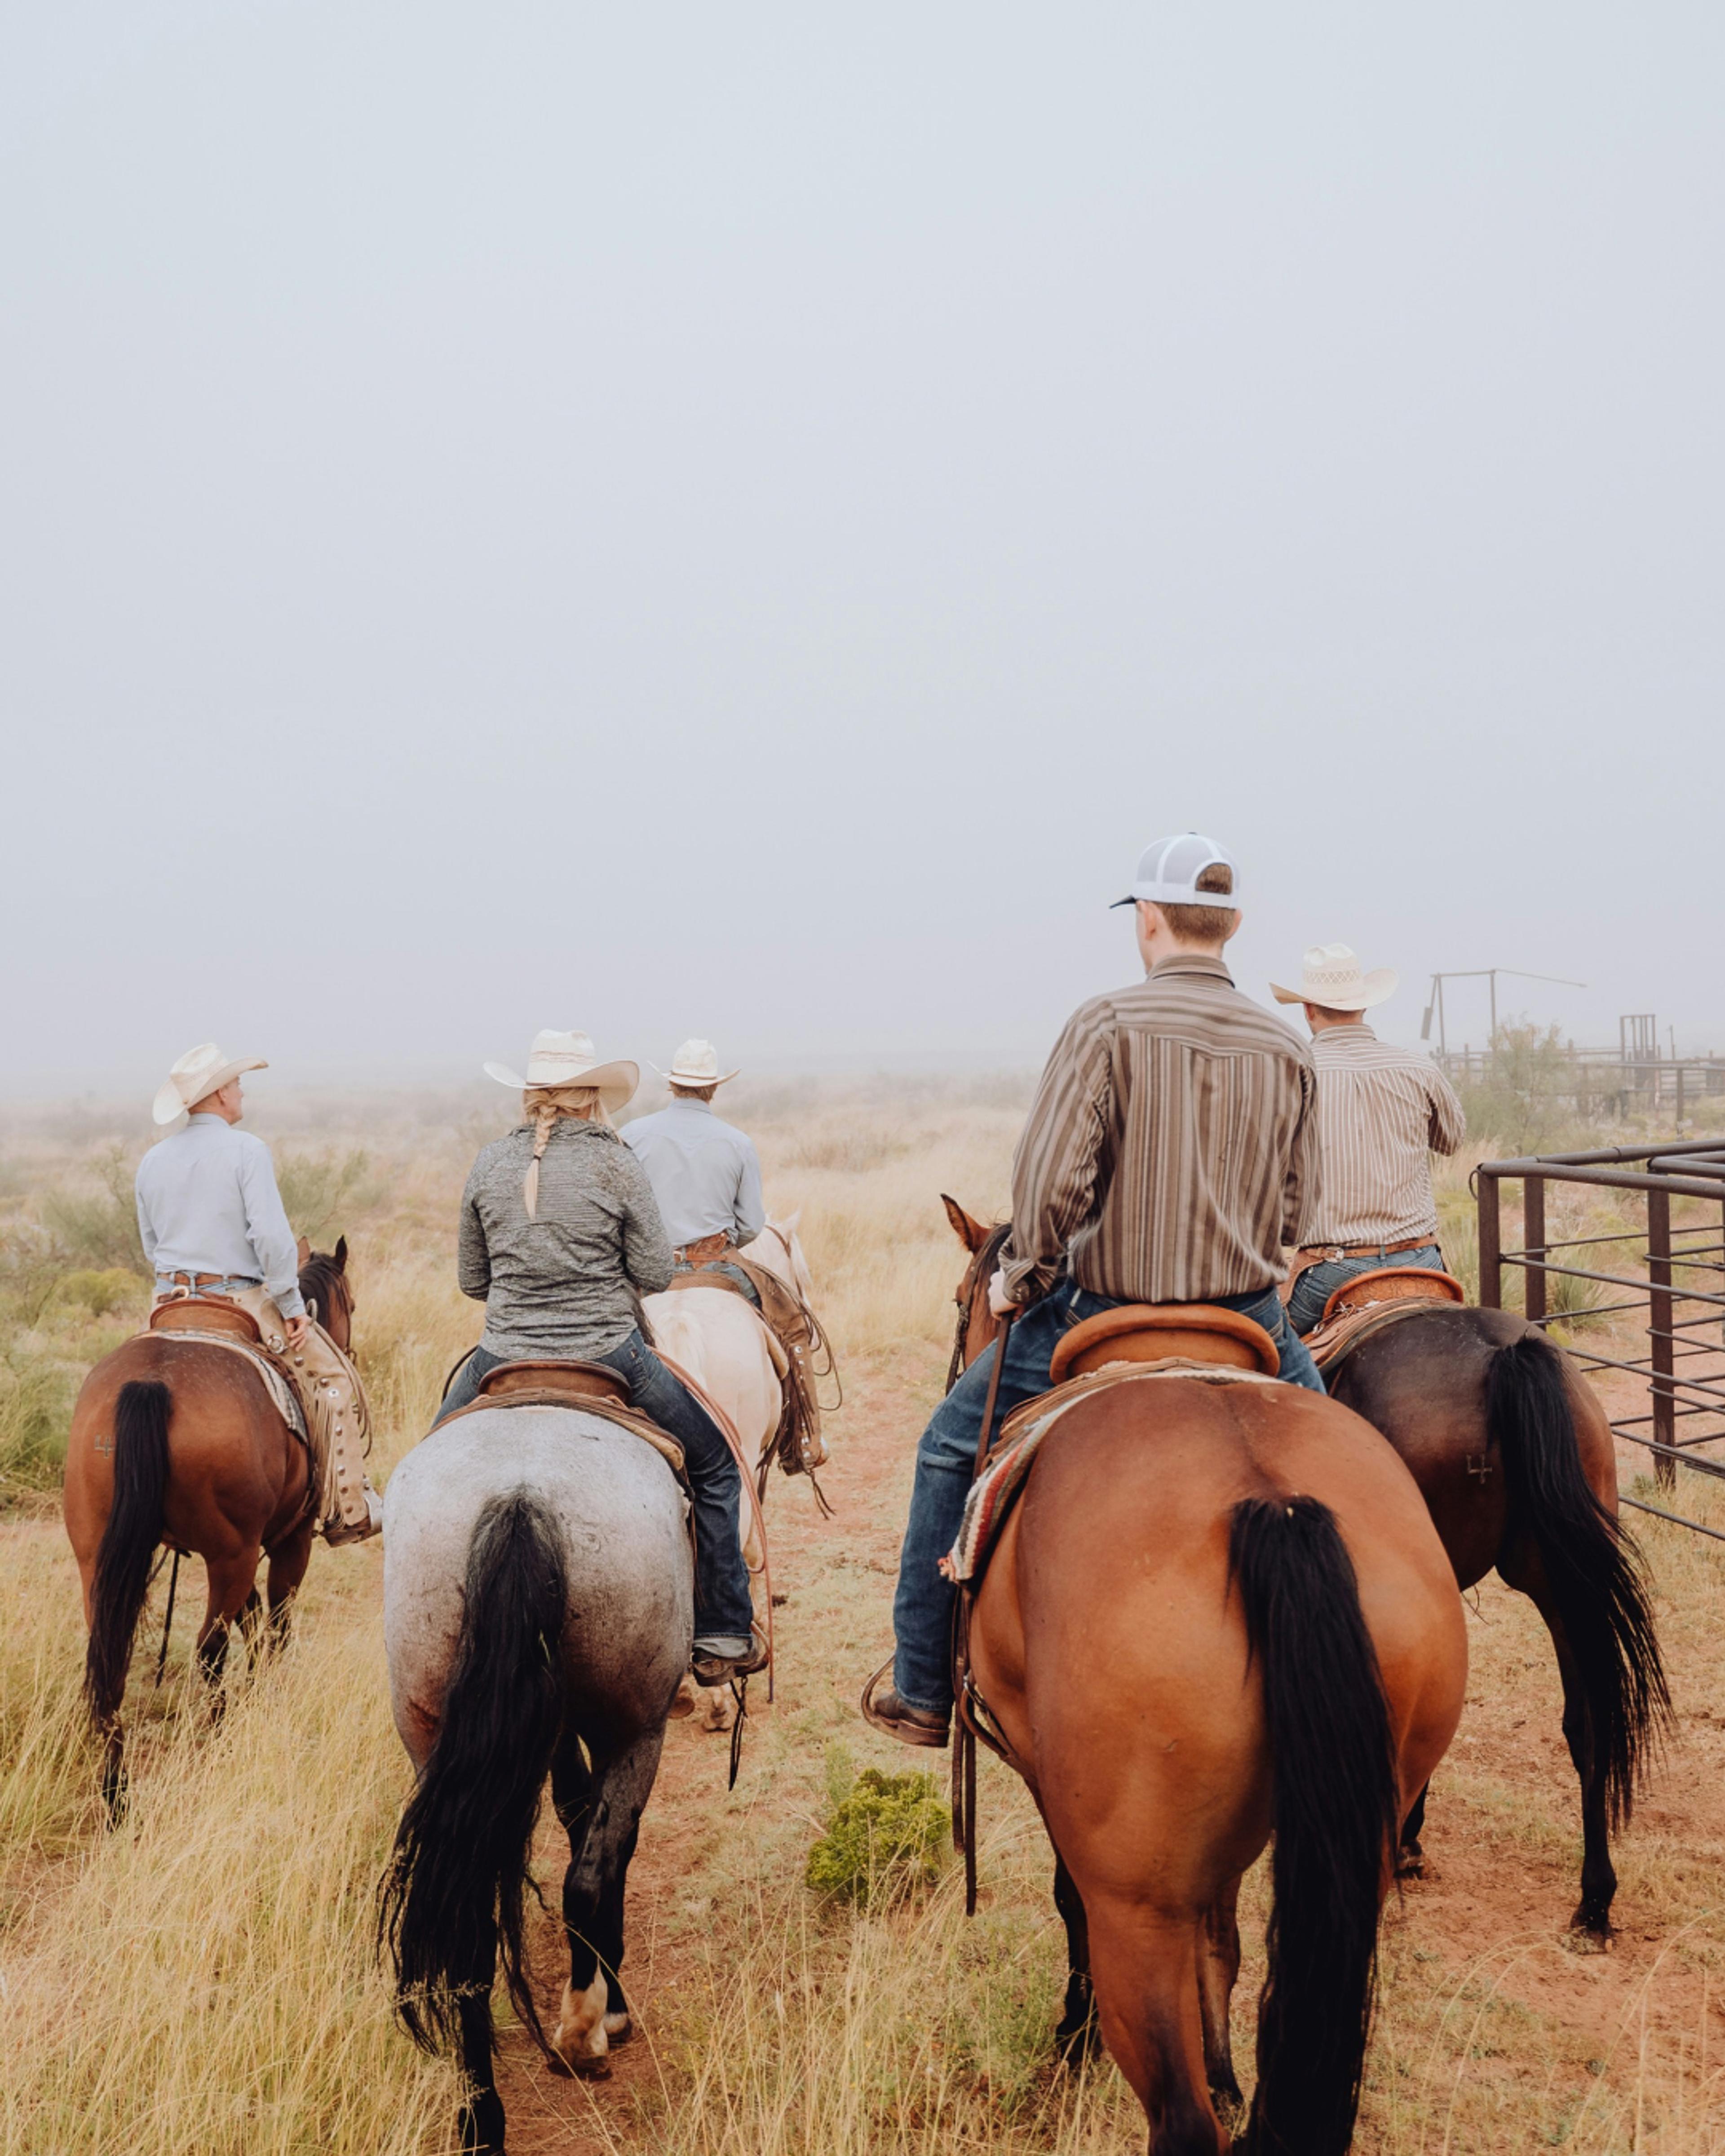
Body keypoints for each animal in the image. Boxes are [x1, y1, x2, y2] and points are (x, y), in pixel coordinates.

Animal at [63, 1241, 358, 1811]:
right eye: (351, 1304)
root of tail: (153, 1383)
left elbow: (254, 1617)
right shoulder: (287, 1541)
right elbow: (276, 1620)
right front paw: (270, 1691)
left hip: (98, 1557)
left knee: (110, 1660)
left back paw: (116, 1794)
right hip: (232, 1555)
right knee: (210, 1649)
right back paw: (216, 1739)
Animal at [381, 1405, 690, 2147]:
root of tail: (521, 1500)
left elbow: (576, 1812)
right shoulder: (618, 1733)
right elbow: (603, 1843)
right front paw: (611, 2005)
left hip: (433, 1727)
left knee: (469, 1938)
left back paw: (479, 2120)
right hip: (635, 1726)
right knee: (589, 1878)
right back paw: (583, 2031)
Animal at [970, 1354, 1466, 2147]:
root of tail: (1273, 1504)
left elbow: (1070, 1900)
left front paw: (1074, 2039)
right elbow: (1221, 1944)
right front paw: (1227, 2076)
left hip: (1137, 1916)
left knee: (1180, 2119)